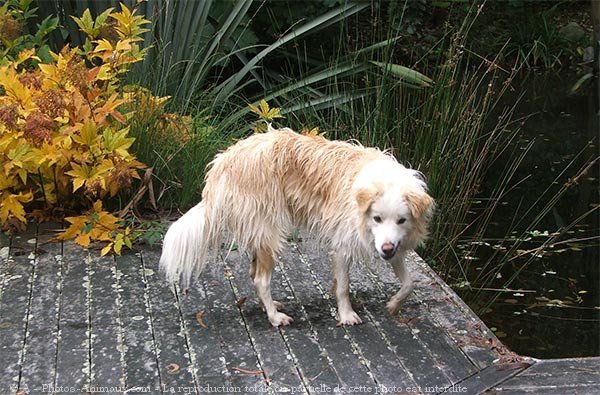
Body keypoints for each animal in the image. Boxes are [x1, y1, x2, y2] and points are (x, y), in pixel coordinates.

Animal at [158, 127, 436, 328]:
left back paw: (269, 307)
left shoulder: (393, 244)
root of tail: (224, 161)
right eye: (376, 218)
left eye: (401, 220)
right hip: (269, 232)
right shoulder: (344, 244)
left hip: (260, 233)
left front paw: (394, 305)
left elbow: (409, 283)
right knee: (261, 279)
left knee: (253, 273)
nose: (386, 250)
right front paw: (346, 315)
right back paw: (274, 318)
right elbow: (344, 287)